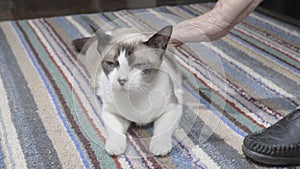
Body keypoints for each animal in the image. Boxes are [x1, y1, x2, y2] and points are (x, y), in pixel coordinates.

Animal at [72, 24, 183, 156]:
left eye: (138, 65)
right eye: (111, 64)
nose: (121, 80)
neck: (138, 95)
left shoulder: (173, 108)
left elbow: (162, 129)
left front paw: (159, 147)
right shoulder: (111, 112)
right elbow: (115, 128)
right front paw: (115, 147)